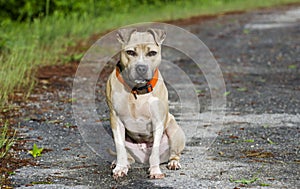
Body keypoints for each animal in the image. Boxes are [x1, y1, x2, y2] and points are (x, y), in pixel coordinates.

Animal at [105, 27, 185, 179]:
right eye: (130, 52)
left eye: (152, 53)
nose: (141, 68)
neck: (137, 90)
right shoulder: (115, 119)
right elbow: (120, 148)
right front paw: (120, 168)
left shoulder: (157, 120)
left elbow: (154, 151)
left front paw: (155, 171)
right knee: (127, 155)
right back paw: (121, 163)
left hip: (174, 130)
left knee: (174, 154)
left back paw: (173, 163)